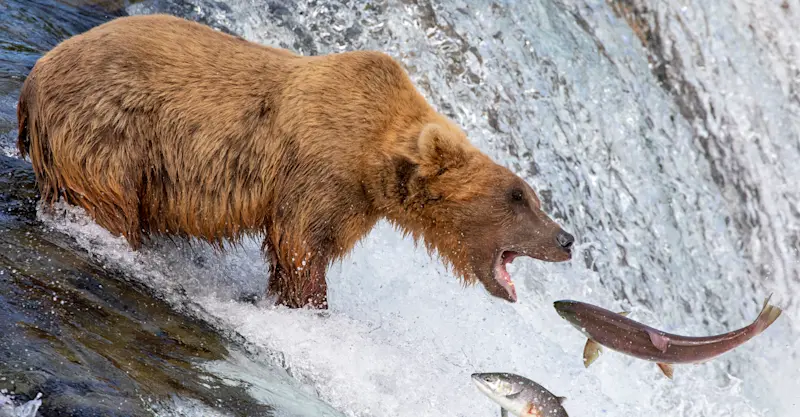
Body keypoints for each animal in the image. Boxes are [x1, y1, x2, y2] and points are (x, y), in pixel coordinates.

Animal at [16, 14, 574, 309]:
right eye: (518, 196)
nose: (566, 238)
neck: (375, 157)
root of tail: (34, 75)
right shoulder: (319, 172)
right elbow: (301, 246)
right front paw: (311, 304)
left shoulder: (352, 198)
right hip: (110, 131)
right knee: (107, 202)